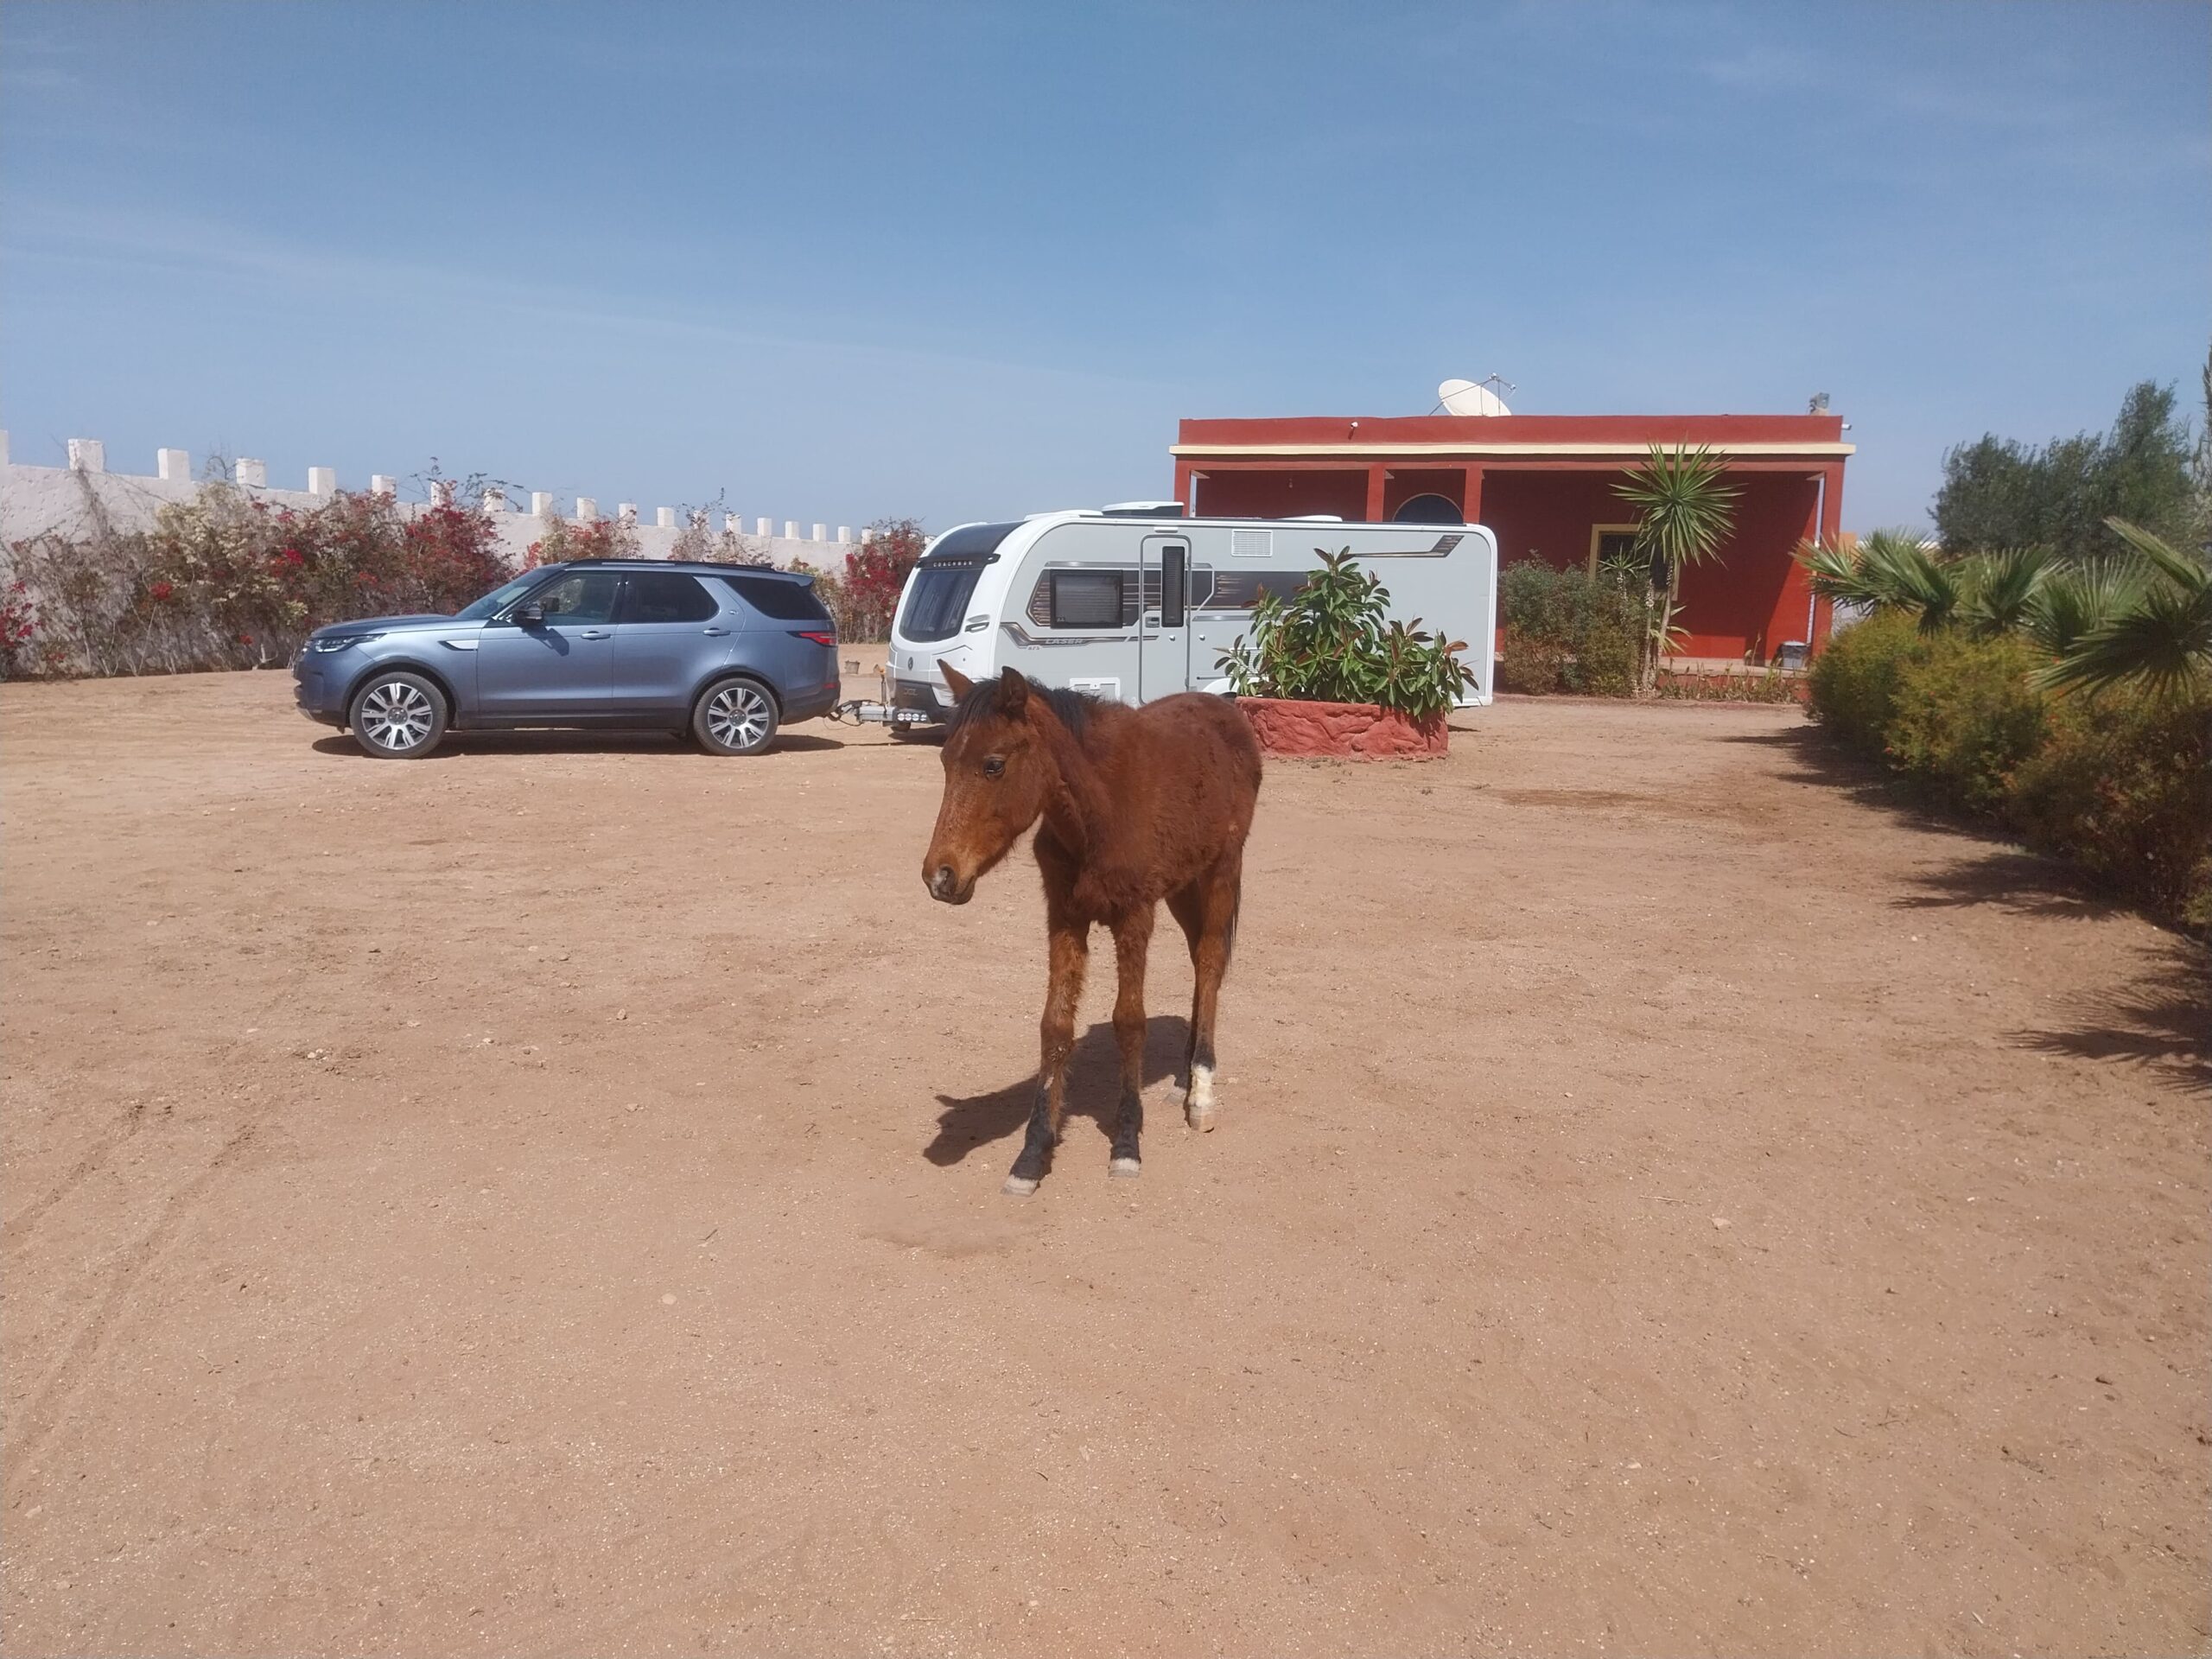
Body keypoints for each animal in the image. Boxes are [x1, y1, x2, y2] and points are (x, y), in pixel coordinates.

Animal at [923, 664, 1263, 1196]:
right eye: (944, 761)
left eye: (994, 765)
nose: (940, 877)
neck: (1099, 809)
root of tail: (1228, 710)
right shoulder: (1065, 917)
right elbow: (1055, 1025)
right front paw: (1032, 1154)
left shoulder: (1134, 917)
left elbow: (1130, 1022)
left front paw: (1126, 1144)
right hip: (1184, 885)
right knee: (1199, 961)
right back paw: (1183, 1079)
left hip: (1221, 871)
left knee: (1209, 963)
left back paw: (1202, 1092)